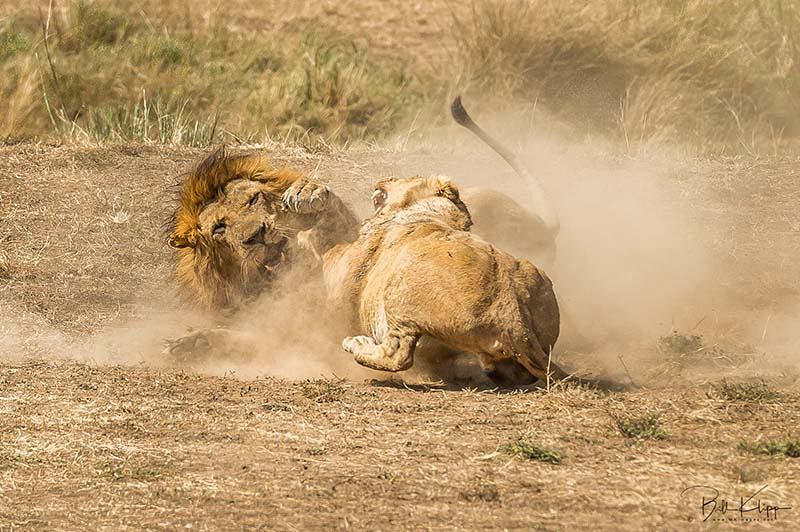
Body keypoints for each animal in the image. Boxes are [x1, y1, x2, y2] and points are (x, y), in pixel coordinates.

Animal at [322, 177, 564, 384]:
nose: (385, 178)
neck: (432, 213)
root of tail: (514, 315)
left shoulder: (344, 276)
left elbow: (328, 253)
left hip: (400, 285)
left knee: (398, 355)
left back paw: (357, 344)